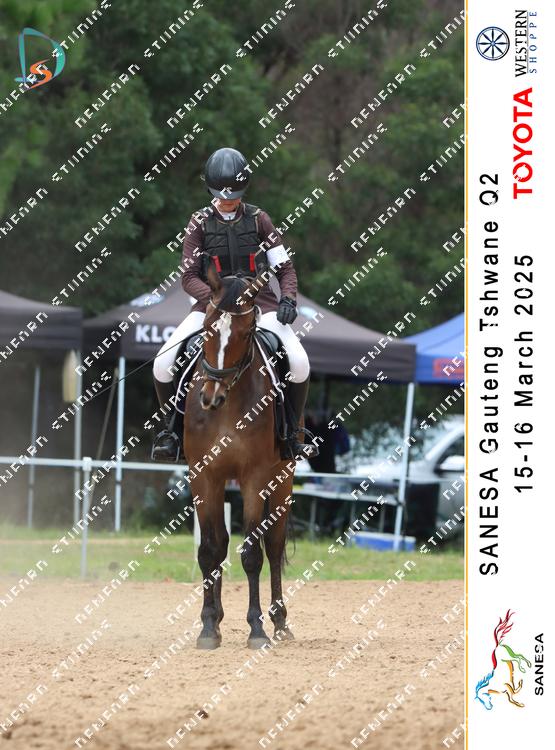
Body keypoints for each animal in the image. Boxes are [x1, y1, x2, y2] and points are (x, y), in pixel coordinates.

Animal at [183, 262, 297, 649]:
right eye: (207, 327)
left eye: (247, 332)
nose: (210, 396)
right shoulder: (203, 476)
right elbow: (209, 549)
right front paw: (208, 627)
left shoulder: (254, 479)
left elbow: (252, 553)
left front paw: (257, 629)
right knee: (221, 544)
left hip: (283, 479)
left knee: (274, 546)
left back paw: (280, 623)